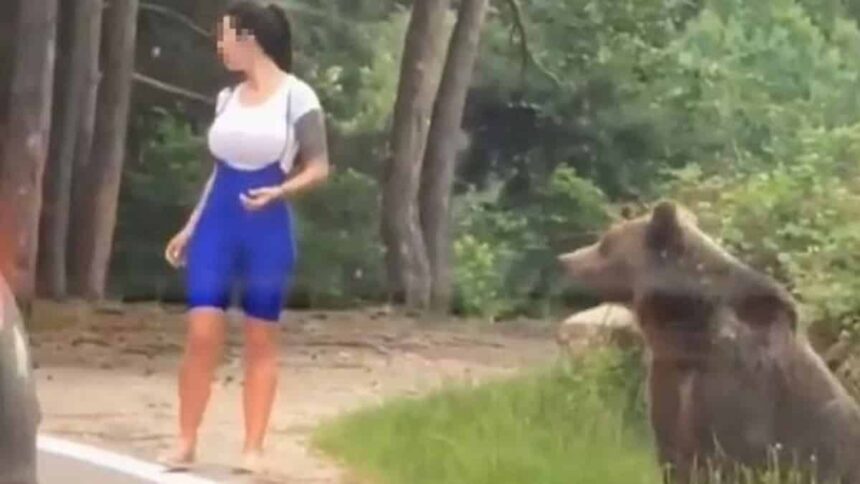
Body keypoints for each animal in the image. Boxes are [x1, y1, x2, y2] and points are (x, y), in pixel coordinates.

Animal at [558, 200, 860, 483]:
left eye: (606, 243)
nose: (564, 260)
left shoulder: (735, 385)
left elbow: (726, 454)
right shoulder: (669, 379)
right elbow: (673, 453)